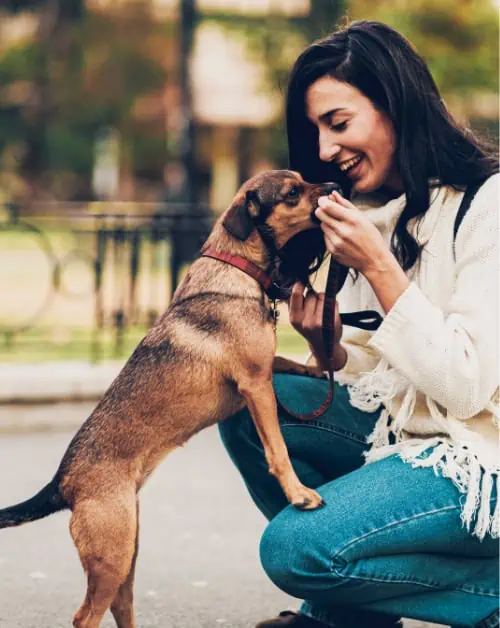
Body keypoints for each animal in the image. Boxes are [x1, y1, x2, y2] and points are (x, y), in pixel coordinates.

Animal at [0, 169, 338, 628]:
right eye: (292, 193)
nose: (334, 187)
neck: (236, 266)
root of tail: (62, 483)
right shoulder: (255, 384)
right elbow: (278, 450)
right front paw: (299, 493)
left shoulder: (265, 368)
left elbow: (287, 361)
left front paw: (319, 367)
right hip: (110, 554)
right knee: (85, 617)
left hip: (126, 551)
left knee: (121, 606)